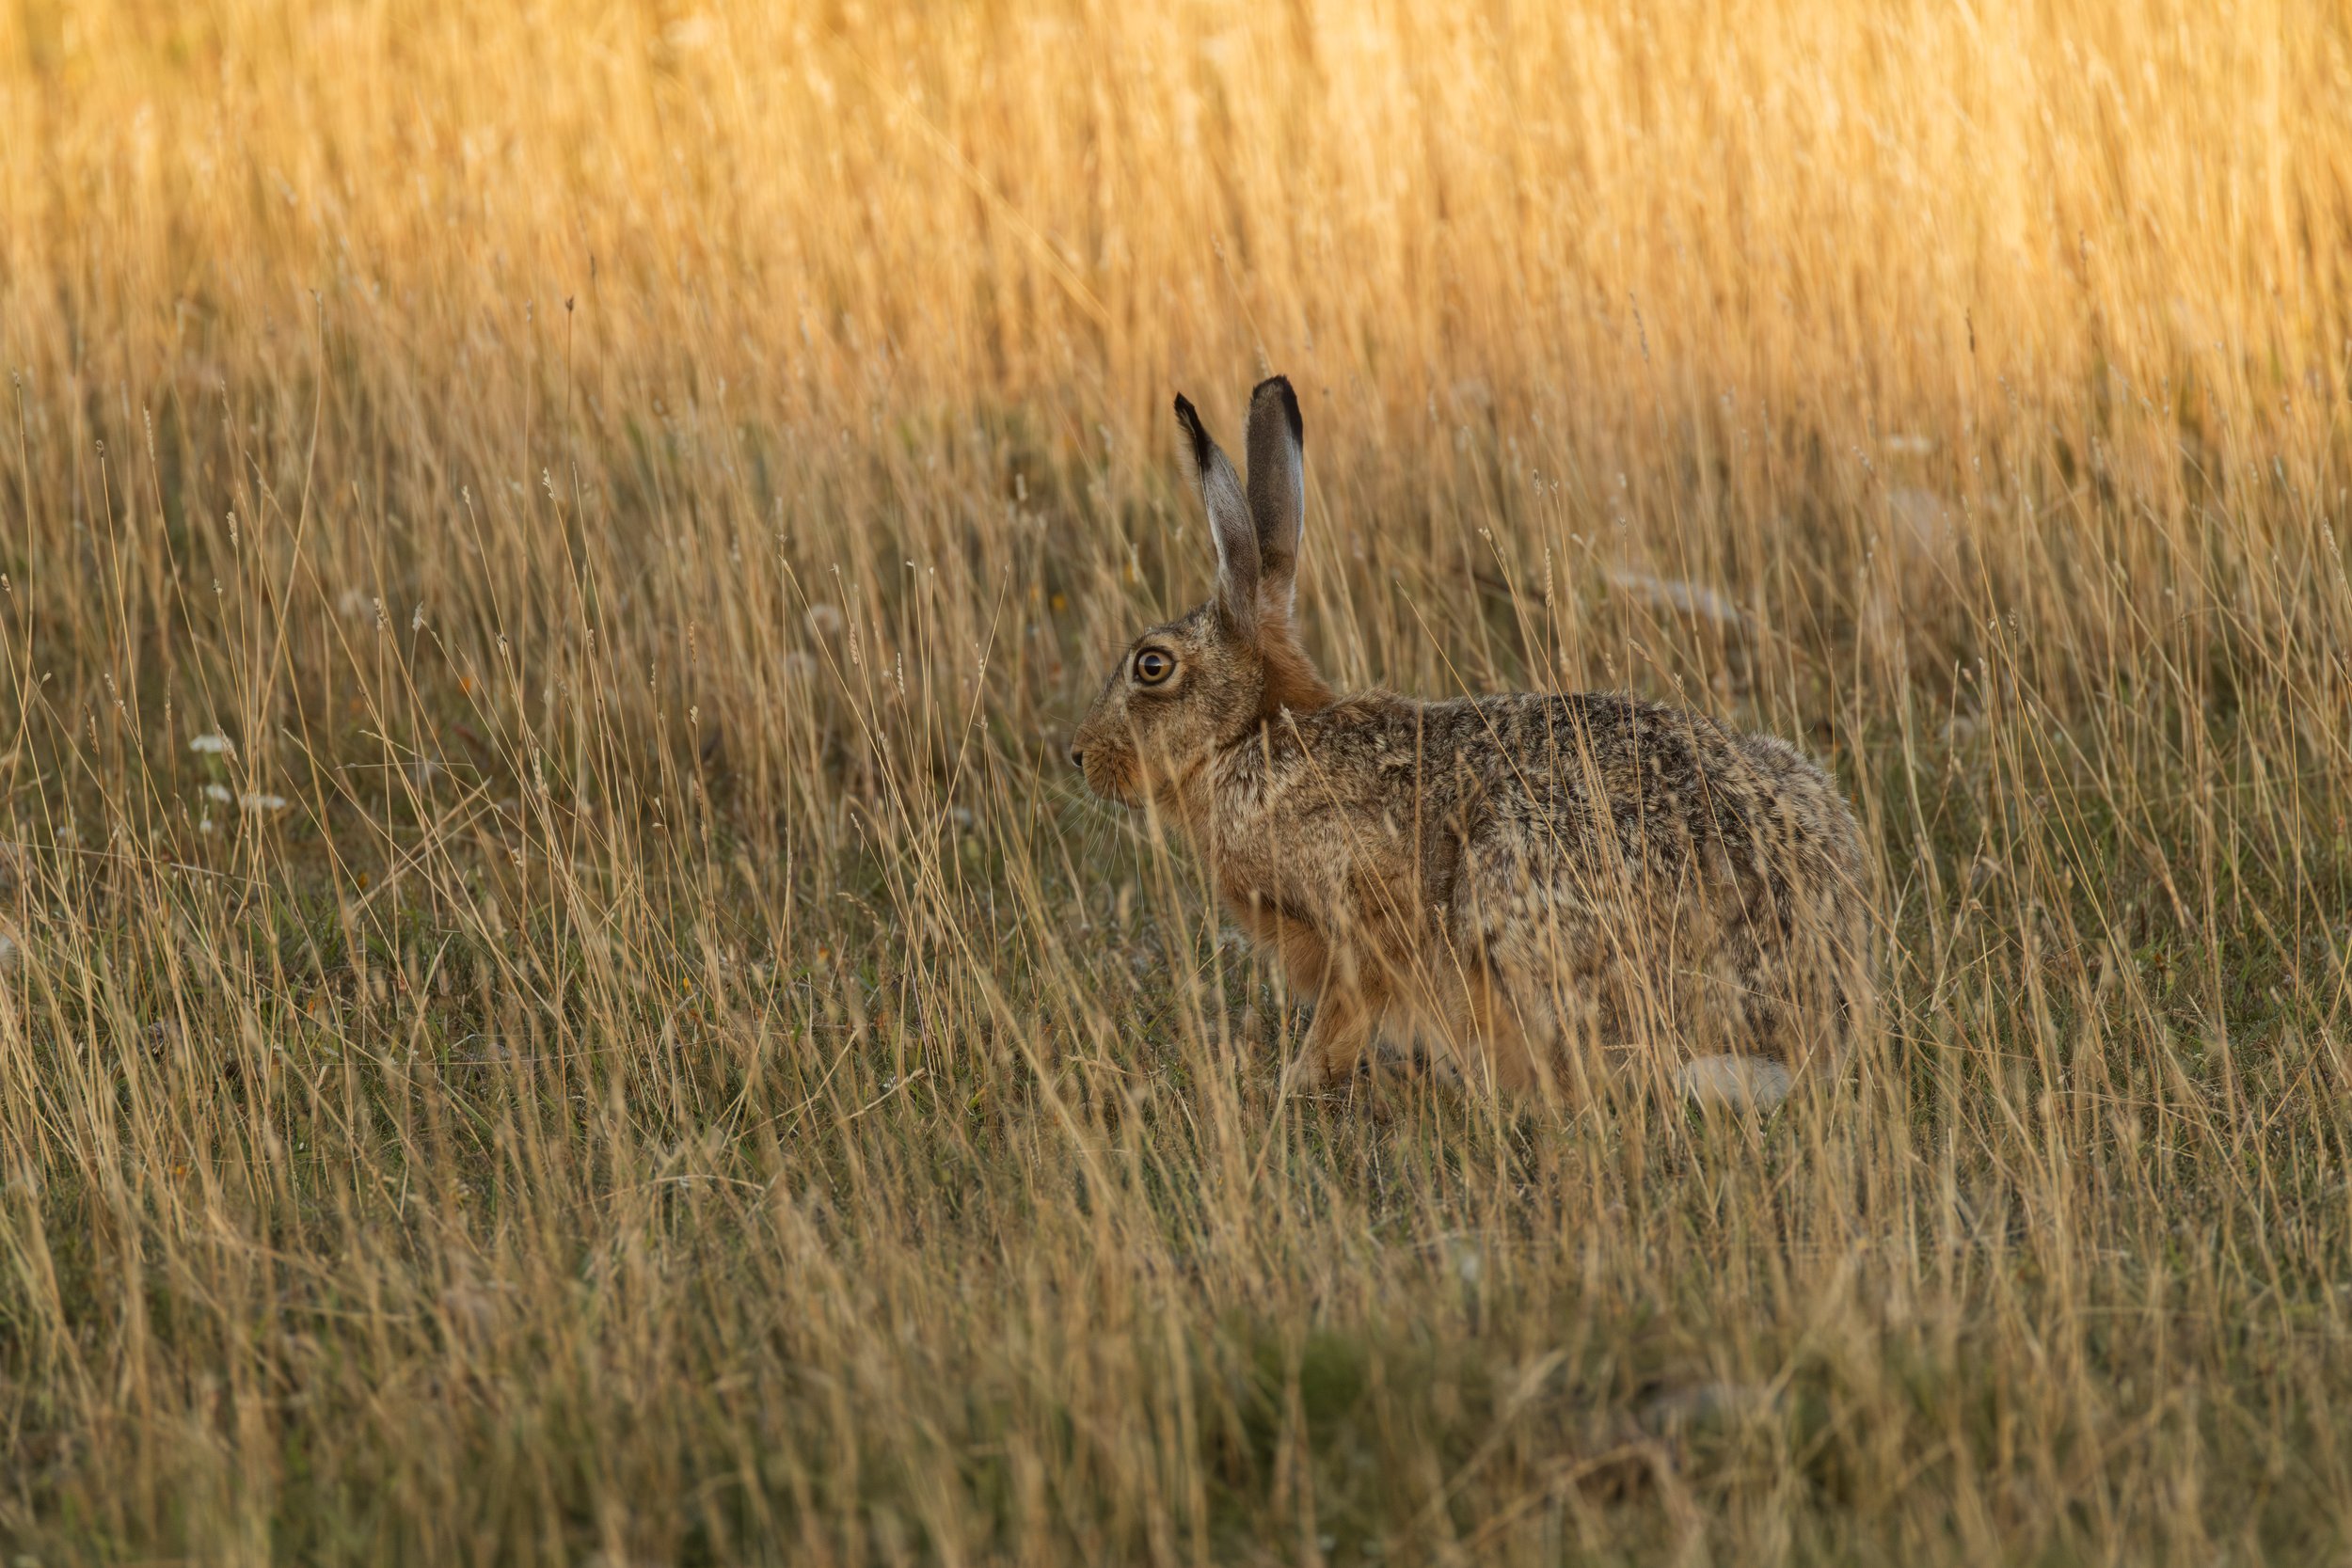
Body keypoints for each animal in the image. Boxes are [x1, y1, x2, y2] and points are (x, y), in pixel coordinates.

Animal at [1069, 375, 1874, 1107]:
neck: (1252, 735)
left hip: (1515, 889)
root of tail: (1810, 1017)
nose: (1080, 755)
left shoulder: (1356, 921)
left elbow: (1341, 1016)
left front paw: (1293, 1085)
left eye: (1152, 666)